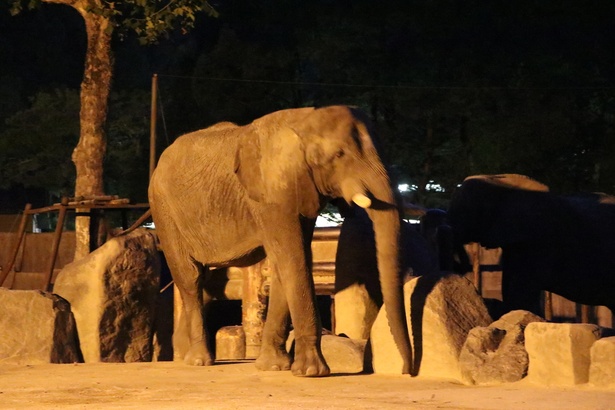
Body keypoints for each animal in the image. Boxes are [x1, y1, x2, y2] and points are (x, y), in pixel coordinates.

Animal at [147, 106, 412, 378]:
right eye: (339, 154)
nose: (407, 369)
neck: (303, 121)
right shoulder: (272, 196)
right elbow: (293, 258)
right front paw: (311, 372)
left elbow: (285, 262)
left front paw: (275, 367)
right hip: (164, 211)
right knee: (191, 277)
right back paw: (199, 360)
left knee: (210, 281)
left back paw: (184, 353)